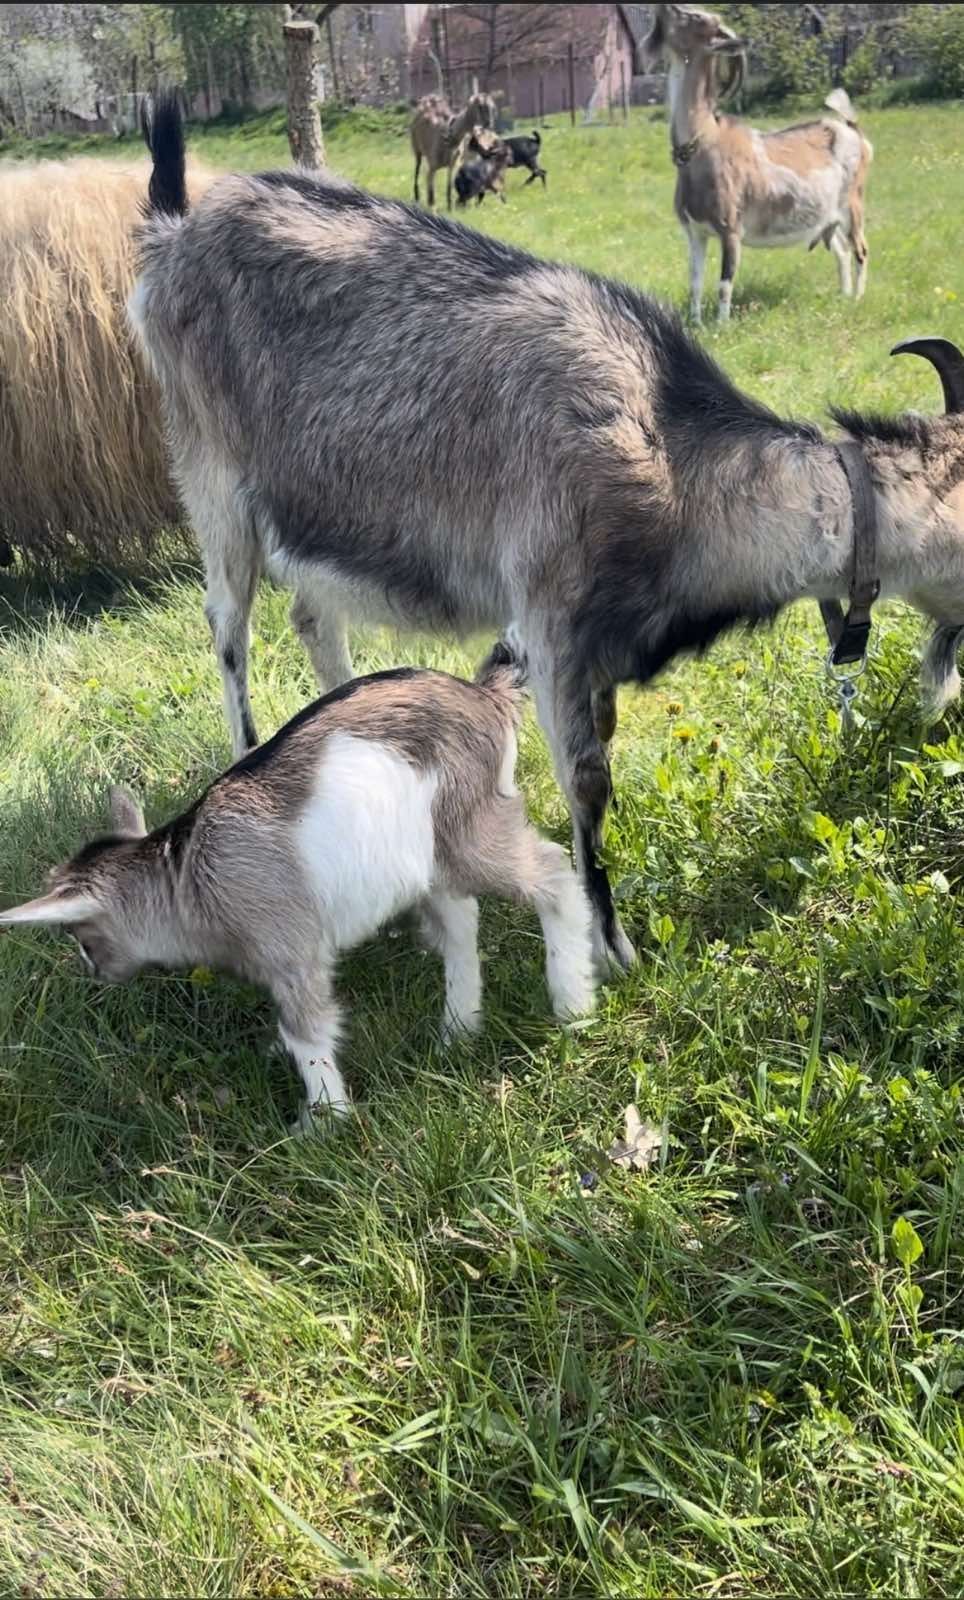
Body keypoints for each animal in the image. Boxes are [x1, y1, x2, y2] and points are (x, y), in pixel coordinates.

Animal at [125, 100, 960, 979]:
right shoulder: (551, 614)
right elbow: (587, 780)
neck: (670, 448)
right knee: (230, 631)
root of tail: (173, 233)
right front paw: (612, 948)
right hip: (213, 474)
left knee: (313, 619)